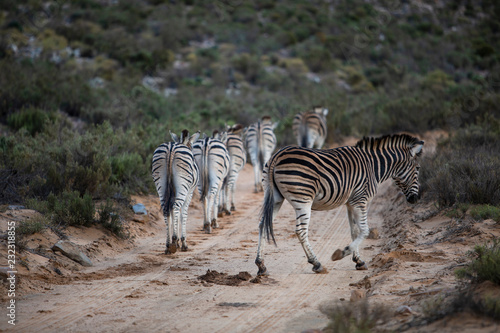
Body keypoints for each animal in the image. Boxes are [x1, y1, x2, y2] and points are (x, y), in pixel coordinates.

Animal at [256, 132, 424, 274]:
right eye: (417, 168)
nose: (415, 199)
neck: (373, 166)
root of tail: (277, 155)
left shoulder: (351, 203)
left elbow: (355, 231)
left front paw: (358, 261)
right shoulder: (360, 200)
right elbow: (365, 230)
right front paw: (341, 253)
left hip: (275, 198)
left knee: (262, 224)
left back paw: (261, 265)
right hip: (303, 199)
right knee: (300, 231)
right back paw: (316, 263)